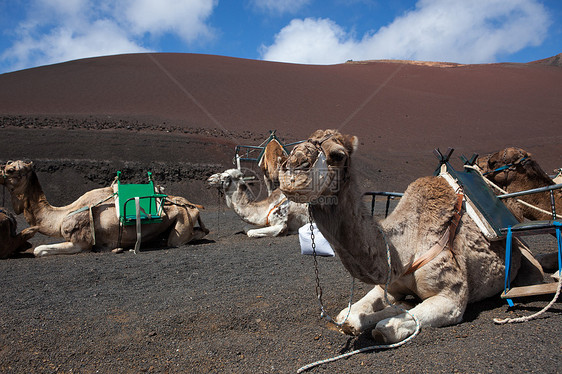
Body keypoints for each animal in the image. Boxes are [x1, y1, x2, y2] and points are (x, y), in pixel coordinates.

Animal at [1, 159, 207, 256]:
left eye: (10, 170)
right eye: (6, 166)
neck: (62, 215)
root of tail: (191, 204)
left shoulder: (80, 243)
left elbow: (38, 250)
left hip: (182, 222)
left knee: (182, 238)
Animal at [276, 129, 540, 344]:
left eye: (338, 154)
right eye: (297, 144)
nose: (292, 170)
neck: (405, 250)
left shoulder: (451, 299)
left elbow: (385, 329)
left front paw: (391, 315)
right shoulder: (389, 285)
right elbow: (349, 317)